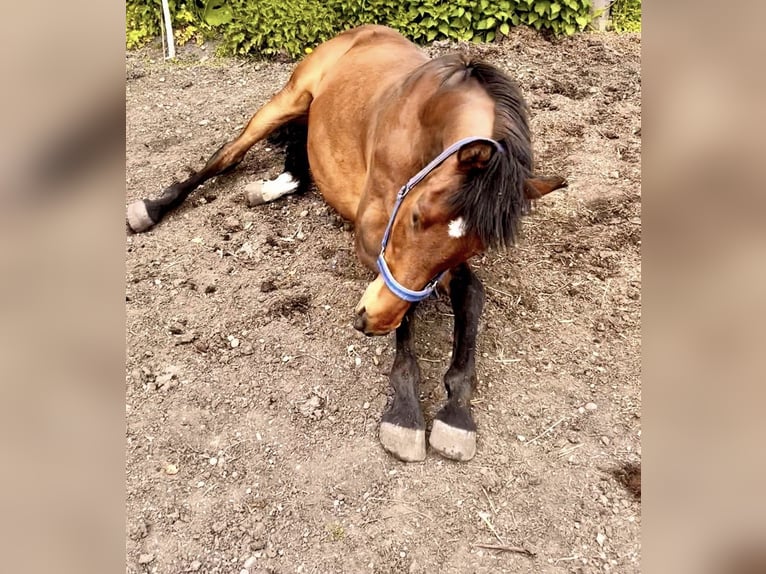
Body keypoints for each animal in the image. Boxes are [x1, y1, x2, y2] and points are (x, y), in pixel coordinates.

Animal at [129, 24, 568, 464]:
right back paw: (151, 209)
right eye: (415, 217)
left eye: (475, 248)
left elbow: (469, 294)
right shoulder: (373, 238)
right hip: (289, 98)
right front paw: (405, 413)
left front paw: (456, 414)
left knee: (299, 164)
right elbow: (407, 306)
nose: (370, 322)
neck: (422, 126)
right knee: (228, 155)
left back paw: (266, 189)